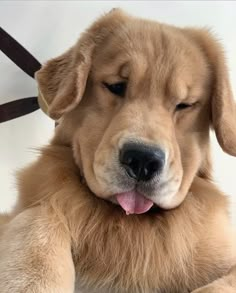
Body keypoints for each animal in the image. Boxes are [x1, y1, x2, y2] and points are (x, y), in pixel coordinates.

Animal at [0, 9, 236, 292]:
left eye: (184, 104)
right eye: (116, 86)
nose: (143, 160)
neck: (127, 223)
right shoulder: (24, 212)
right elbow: (41, 217)